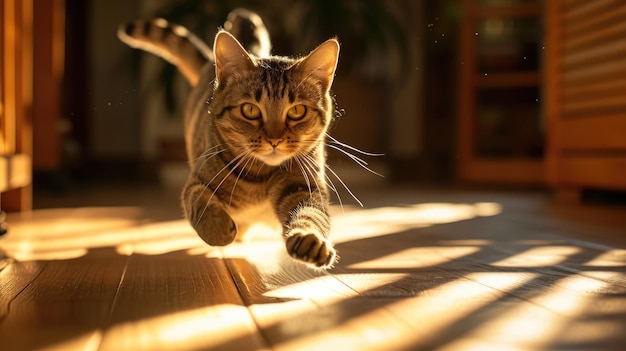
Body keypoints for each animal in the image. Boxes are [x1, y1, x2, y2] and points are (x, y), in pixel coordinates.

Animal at [119, 8, 338, 270]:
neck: (260, 178)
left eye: (297, 111)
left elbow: (310, 215)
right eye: (250, 110)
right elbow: (199, 202)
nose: (274, 139)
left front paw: (309, 239)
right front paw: (219, 228)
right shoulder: (197, 179)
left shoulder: (304, 185)